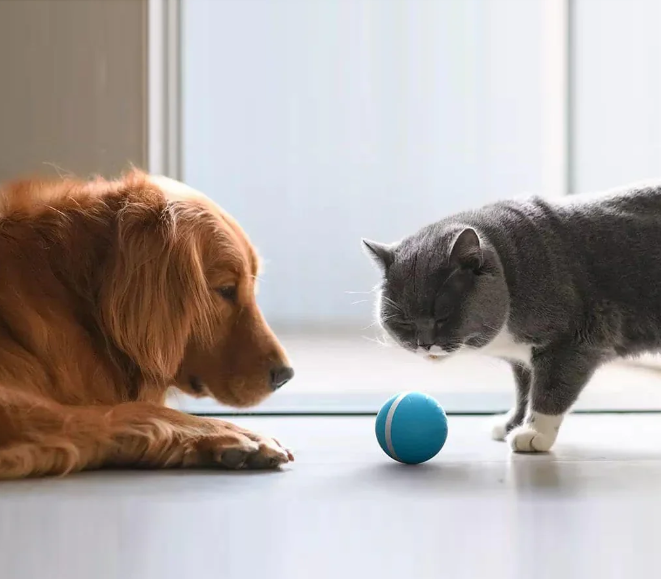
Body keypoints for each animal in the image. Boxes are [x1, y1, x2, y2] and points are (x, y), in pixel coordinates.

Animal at [364, 181, 660, 454]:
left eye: (442, 317)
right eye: (404, 322)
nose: (424, 344)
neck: (513, 272)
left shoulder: (573, 341)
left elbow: (549, 388)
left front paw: (533, 433)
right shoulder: (523, 359)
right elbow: (524, 391)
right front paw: (511, 424)